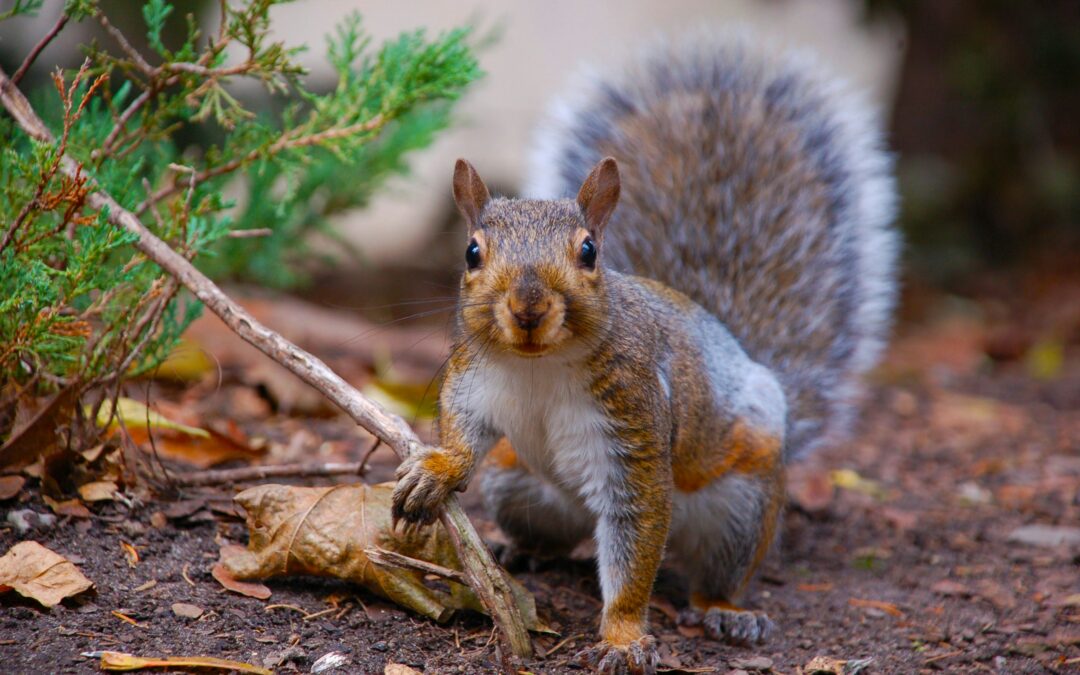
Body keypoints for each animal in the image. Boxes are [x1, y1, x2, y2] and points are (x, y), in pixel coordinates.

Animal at [393, 31, 898, 674]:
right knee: (553, 530)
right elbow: (462, 429)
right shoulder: (472, 375)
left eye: (588, 251)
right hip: (515, 484)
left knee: (711, 568)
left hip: (743, 502)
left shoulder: (634, 421)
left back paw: (725, 610)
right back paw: (525, 550)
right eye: (472, 253)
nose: (528, 308)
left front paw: (624, 636)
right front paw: (438, 470)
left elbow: (636, 540)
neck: (538, 368)